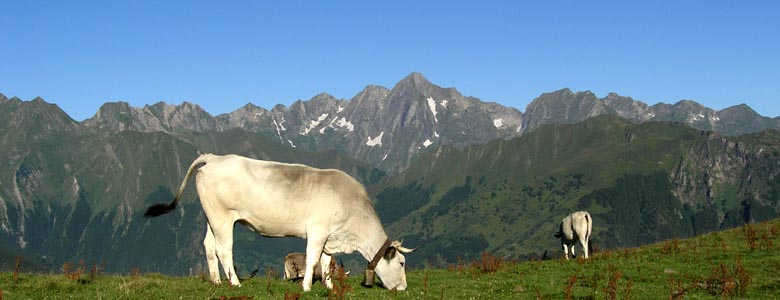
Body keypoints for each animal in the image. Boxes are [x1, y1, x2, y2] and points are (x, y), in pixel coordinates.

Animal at [145, 154, 414, 292]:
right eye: (401, 263)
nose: (403, 288)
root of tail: (215, 158)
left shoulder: (330, 236)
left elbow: (326, 262)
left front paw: (328, 286)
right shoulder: (317, 231)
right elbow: (313, 259)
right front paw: (306, 287)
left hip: (211, 218)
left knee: (209, 247)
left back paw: (216, 281)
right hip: (222, 218)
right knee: (224, 250)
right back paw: (234, 282)